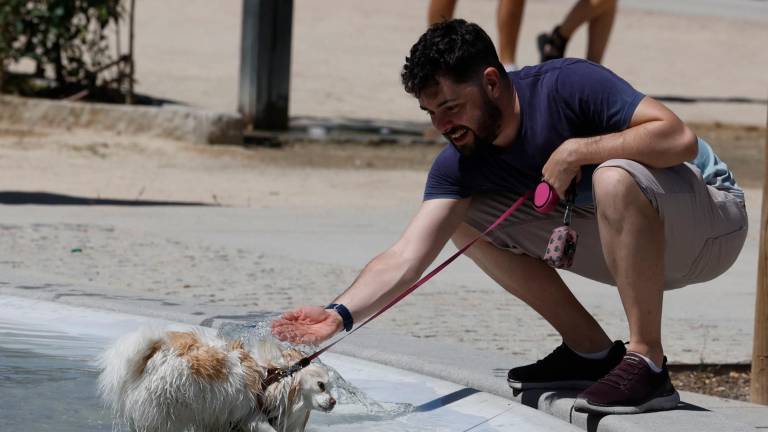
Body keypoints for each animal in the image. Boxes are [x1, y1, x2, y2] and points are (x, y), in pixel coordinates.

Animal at [97, 328, 334, 432]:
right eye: (321, 386)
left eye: (332, 389)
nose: (333, 402)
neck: (276, 380)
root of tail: (153, 355)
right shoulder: (247, 419)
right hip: (165, 413)